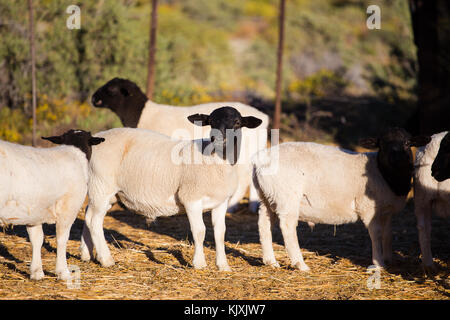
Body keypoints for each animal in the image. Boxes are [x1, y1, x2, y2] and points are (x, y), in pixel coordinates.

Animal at [0, 130, 104, 280]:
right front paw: (63, 272)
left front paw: (36, 272)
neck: (74, 153)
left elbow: (36, 239)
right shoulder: (68, 208)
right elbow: (61, 239)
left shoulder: (35, 211)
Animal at [81, 107, 264, 270]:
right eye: (211, 122)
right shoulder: (191, 197)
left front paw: (223, 266)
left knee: (88, 215)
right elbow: (199, 231)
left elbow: (220, 233)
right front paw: (199, 263)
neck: (216, 160)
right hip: (102, 185)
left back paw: (86, 254)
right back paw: (106, 259)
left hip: (105, 191)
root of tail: (95, 140)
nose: (215, 138)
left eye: (237, 122)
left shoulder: (221, 202)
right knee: (94, 220)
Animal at [89, 77, 268, 212]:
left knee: (244, 180)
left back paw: (232, 206)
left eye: (111, 89)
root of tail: (263, 118)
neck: (143, 114)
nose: (93, 98)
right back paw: (253, 207)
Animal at [251, 127, 430, 270]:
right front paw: (379, 263)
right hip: (286, 197)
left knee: (264, 224)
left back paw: (271, 261)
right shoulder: (368, 208)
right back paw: (300, 264)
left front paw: (389, 259)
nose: (396, 159)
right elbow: (376, 234)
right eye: (382, 145)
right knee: (287, 226)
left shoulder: (386, 211)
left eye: (407, 143)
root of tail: (260, 159)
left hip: (267, 197)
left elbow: (387, 234)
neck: (384, 174)